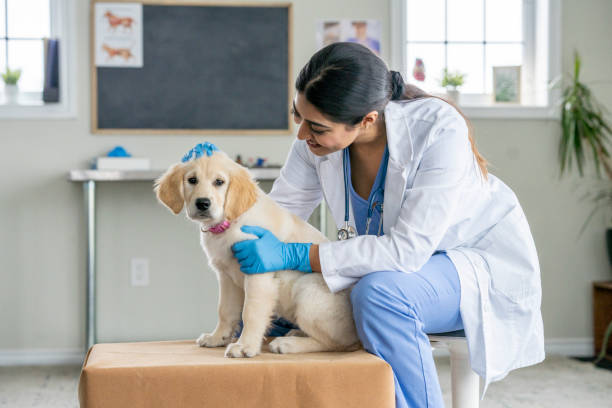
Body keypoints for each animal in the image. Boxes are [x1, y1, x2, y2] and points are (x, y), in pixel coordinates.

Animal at [155, 147, 360, 356]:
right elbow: (225, 310)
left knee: (338, 344)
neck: (231, 223)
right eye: (192, 180)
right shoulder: (226, 277)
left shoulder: (257, 273)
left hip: (307, 291)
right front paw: (217, 337)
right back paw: (296, 333)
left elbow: (250, 312)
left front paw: (245, 346)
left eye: (219, 182)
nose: (202, 203)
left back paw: (289, 344)